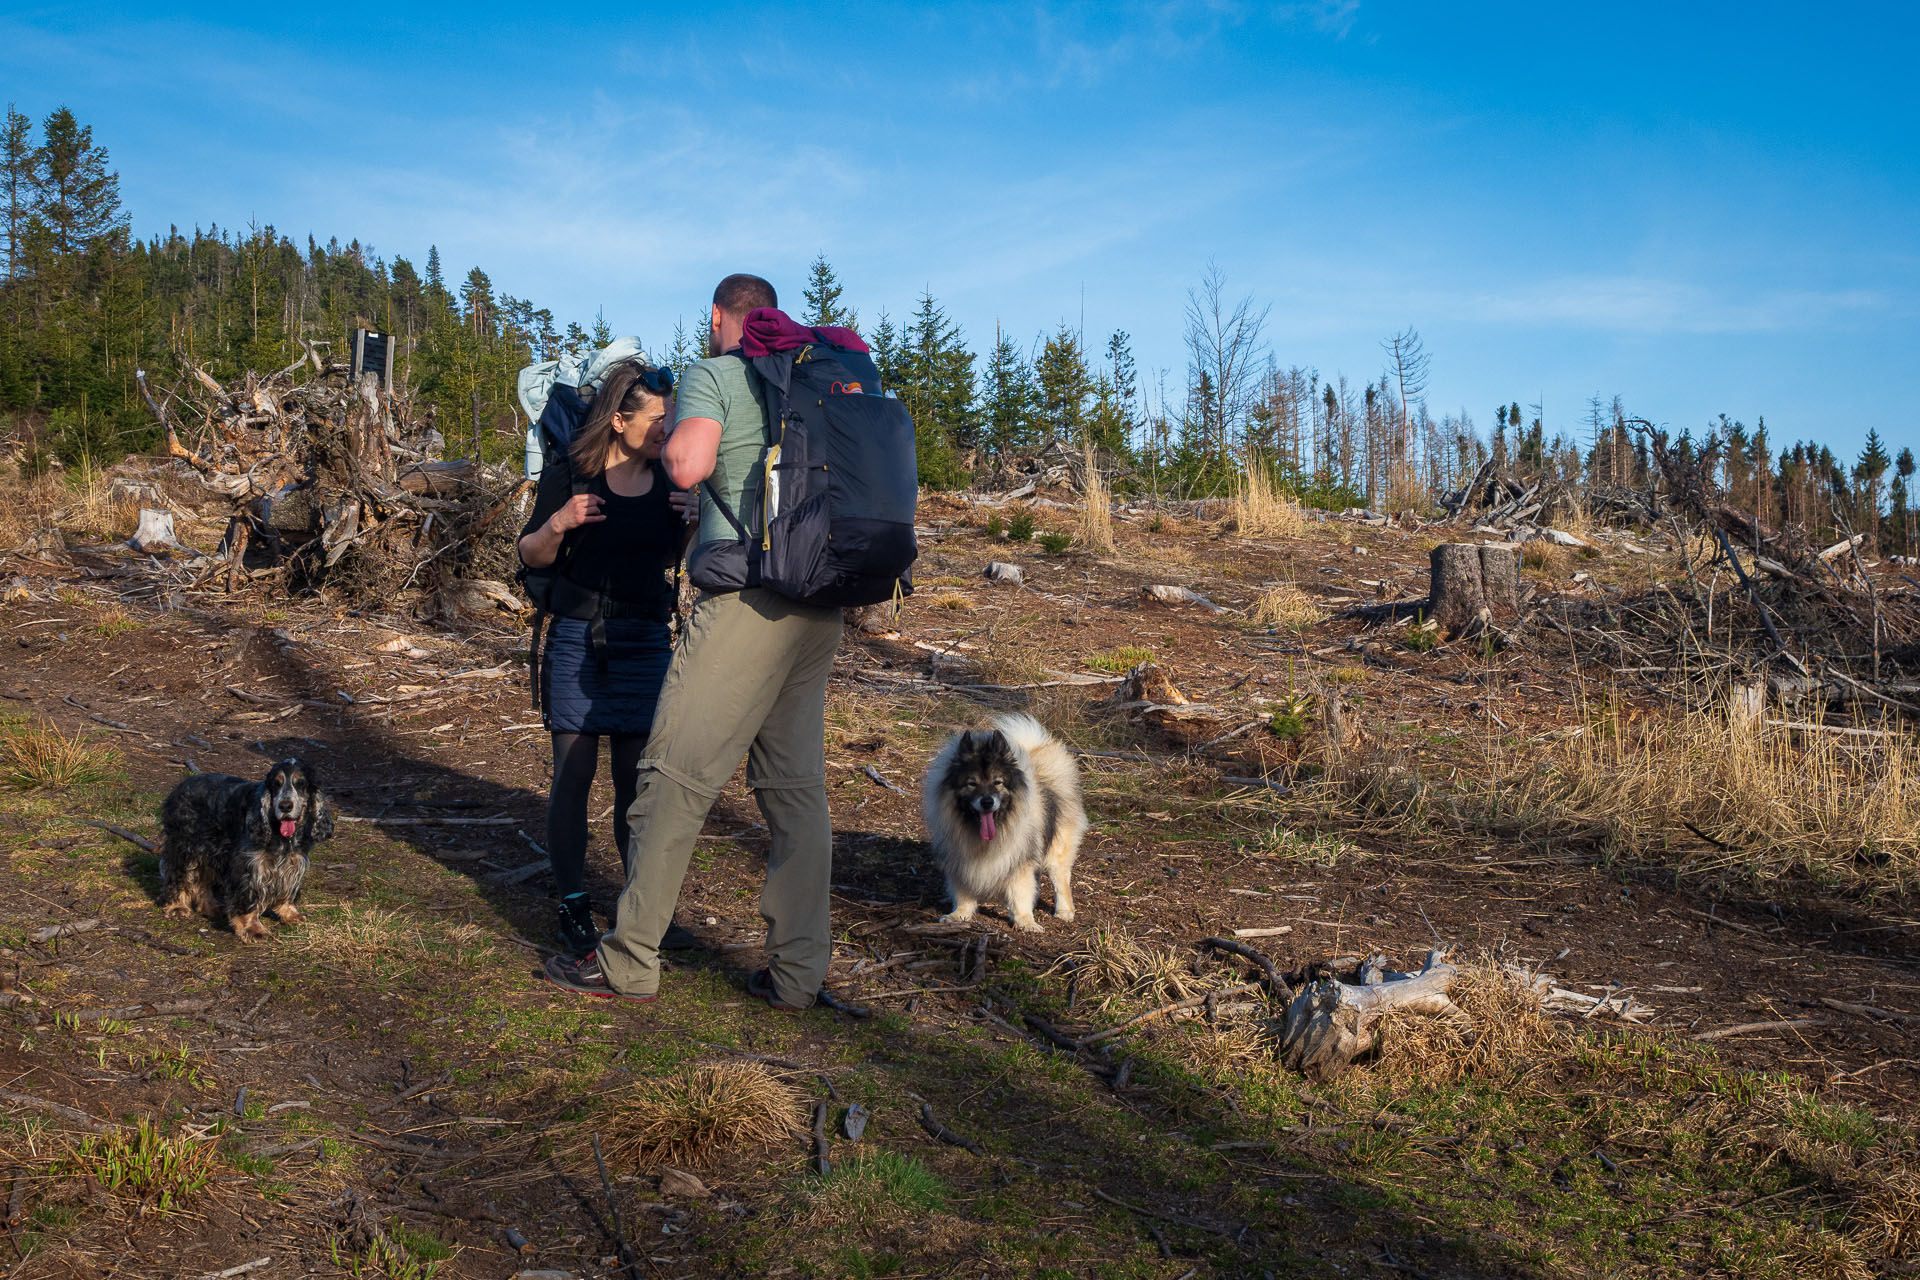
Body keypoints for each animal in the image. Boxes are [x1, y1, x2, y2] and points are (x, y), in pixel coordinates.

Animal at [925, 710, 1090, 932]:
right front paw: (959, 914)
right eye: (972, 783)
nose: (987, 802)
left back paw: (1064, 911)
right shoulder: (961, 859)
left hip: (1057, 850)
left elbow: (1021, 891)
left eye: (998, 782)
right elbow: (963, 892)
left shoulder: (1020, 860)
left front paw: (1025, 921)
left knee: (1061, 881)